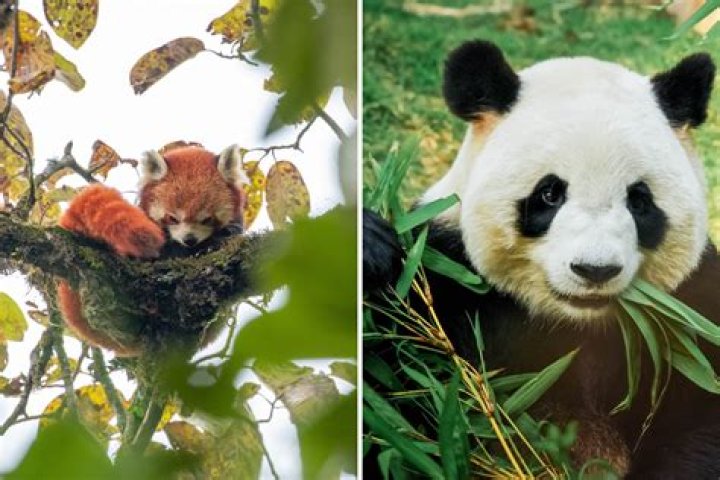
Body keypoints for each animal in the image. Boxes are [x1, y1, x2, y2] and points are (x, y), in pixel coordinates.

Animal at [363, 40, 720, 478]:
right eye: (550, 194)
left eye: (639, 201)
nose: (595, 270)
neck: (574, 323)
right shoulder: (447, 279)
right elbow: (393, 395)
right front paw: (370, 249)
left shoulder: (691, 306)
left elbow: (703, 416)